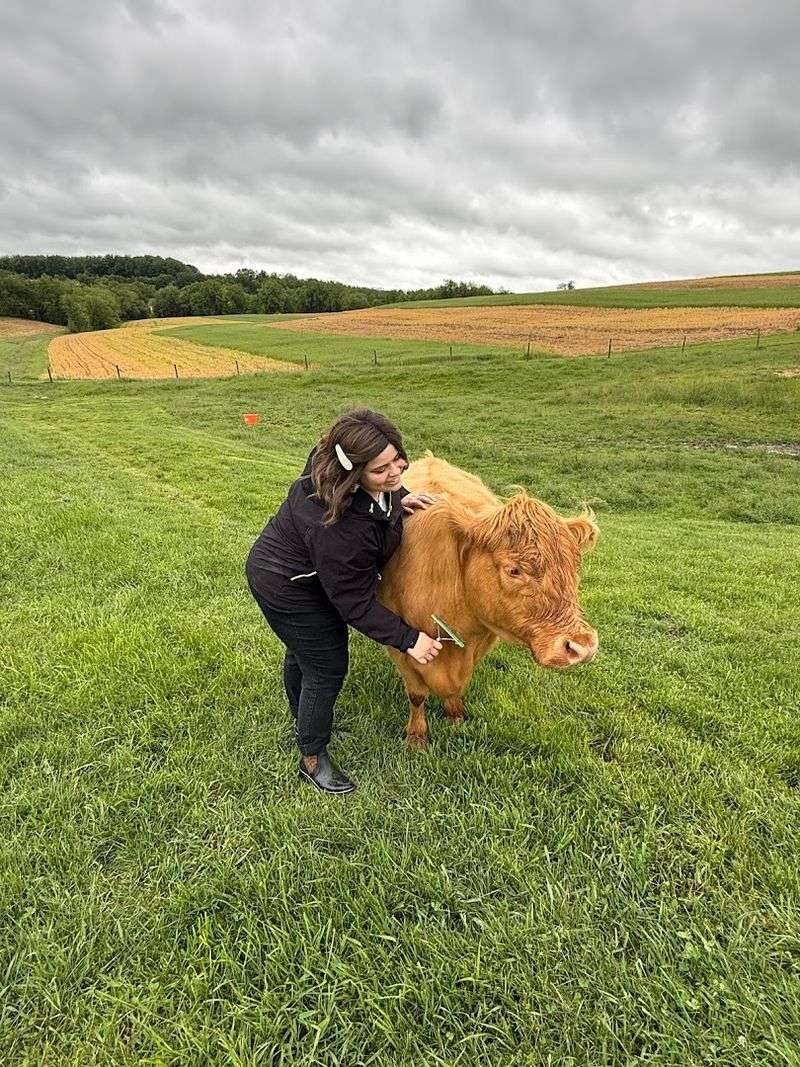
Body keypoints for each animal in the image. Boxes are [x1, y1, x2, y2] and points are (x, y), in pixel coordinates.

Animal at [378, 452, 599, 749]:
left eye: (575, 567)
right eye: (514, 570)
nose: (582, 647)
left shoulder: (482, 638)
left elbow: (459, 686)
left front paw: (455, 715)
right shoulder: (401, 647)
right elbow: (417, 695)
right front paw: (416, 738)